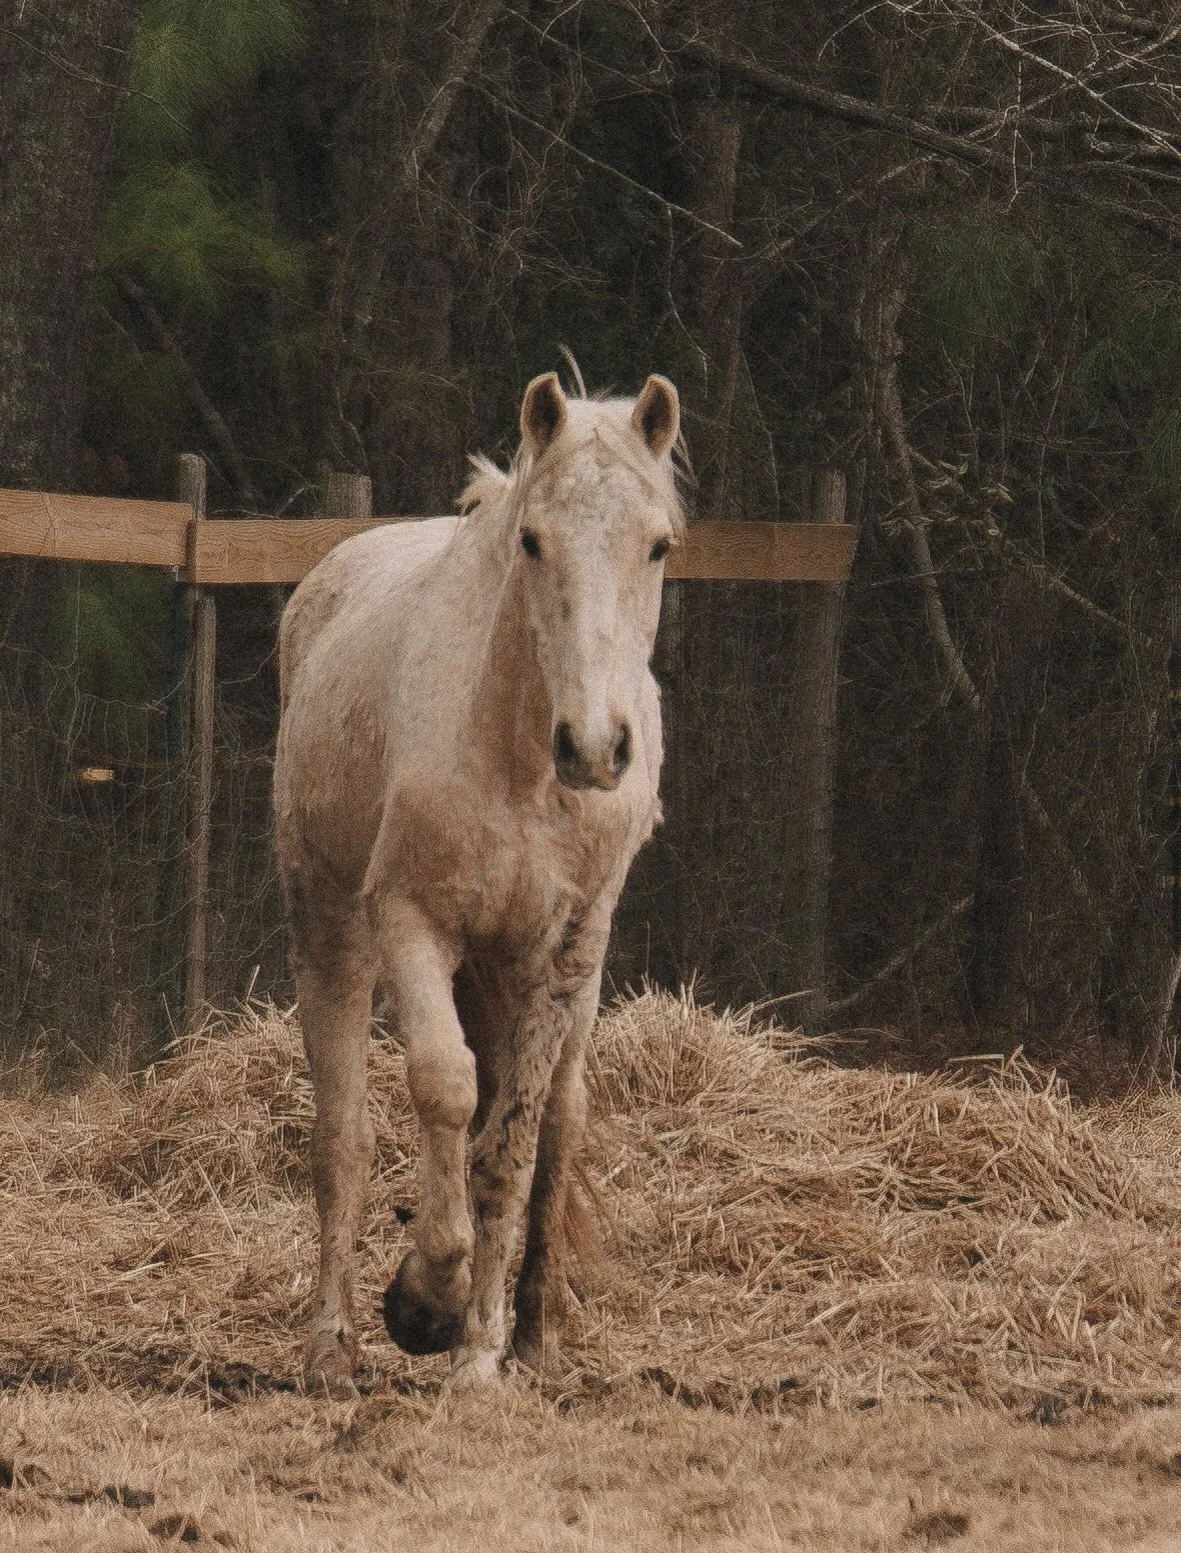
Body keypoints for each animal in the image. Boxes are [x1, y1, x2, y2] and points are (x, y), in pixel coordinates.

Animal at [273, 368, 684, 1393]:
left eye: (658, 544)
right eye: (531, 540)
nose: (594, 746)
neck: (518, 757)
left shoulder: (562, 949)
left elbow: (515, 1139)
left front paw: (478, 1352)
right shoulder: (411, 920)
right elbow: (446, 1089)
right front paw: (424, 1299)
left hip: (553, 975)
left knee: (563, 1118)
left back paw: (533, 1334)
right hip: (332, 928)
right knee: (342, 1134)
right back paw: (331, 1345)